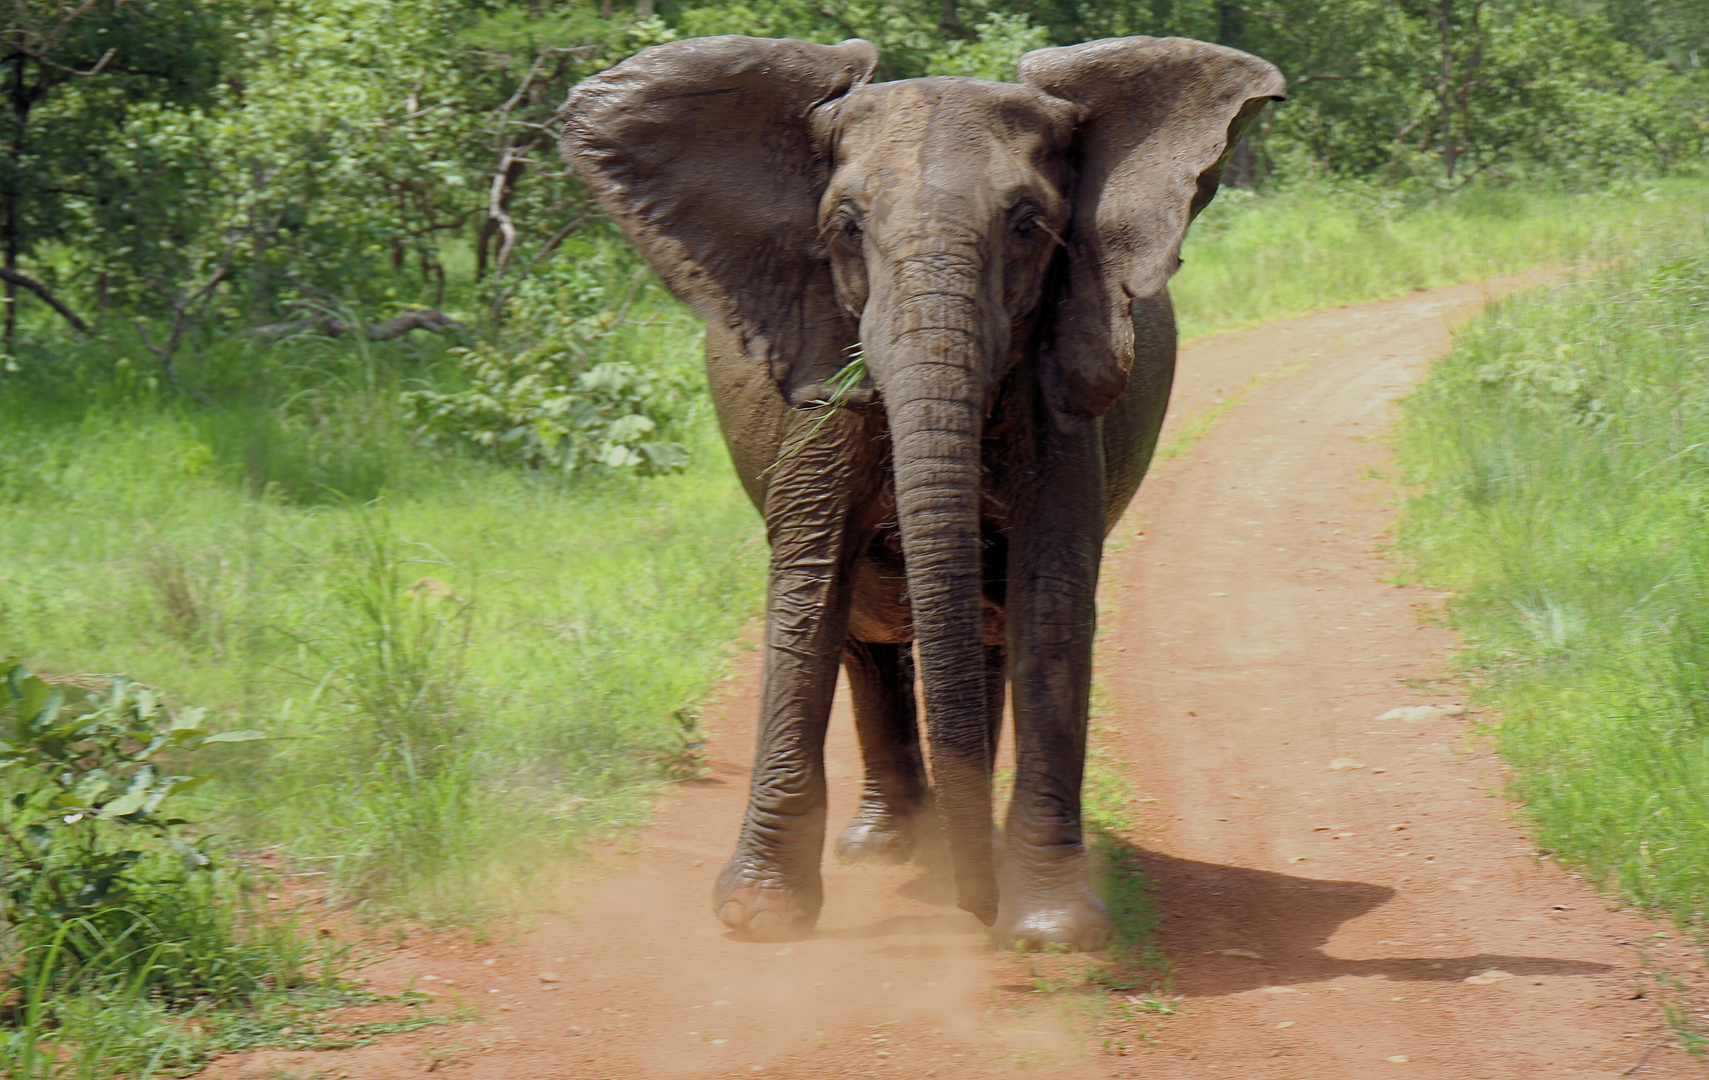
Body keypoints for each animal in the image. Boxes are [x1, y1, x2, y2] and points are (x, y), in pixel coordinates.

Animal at [560, 33, 1285, 950]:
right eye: (844, 227)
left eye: (1027, 226)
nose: (974, 911)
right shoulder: (820, 384)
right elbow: (808, 588)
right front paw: (759, 920)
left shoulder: (1055, 384)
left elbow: (1048, 595)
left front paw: (1048, 931)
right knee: (866, 636)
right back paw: (887, 847)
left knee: (985, 627)